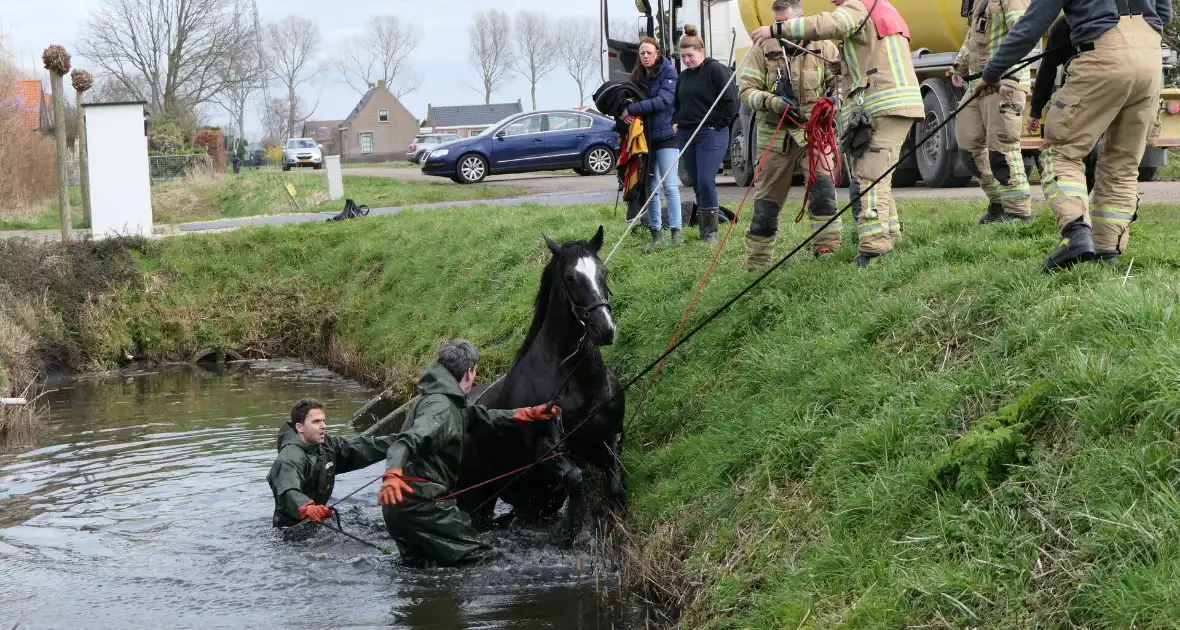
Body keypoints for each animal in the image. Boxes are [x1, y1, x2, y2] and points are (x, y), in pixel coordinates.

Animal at [457, 227, 627, 547]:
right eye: (571, 278)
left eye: (603, 272)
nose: (605, 329)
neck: (578, 382)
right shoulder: (546, 449)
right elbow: (575, 480)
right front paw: (572, 530)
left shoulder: (609, 437)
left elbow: (614, 483)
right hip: (473, 496)